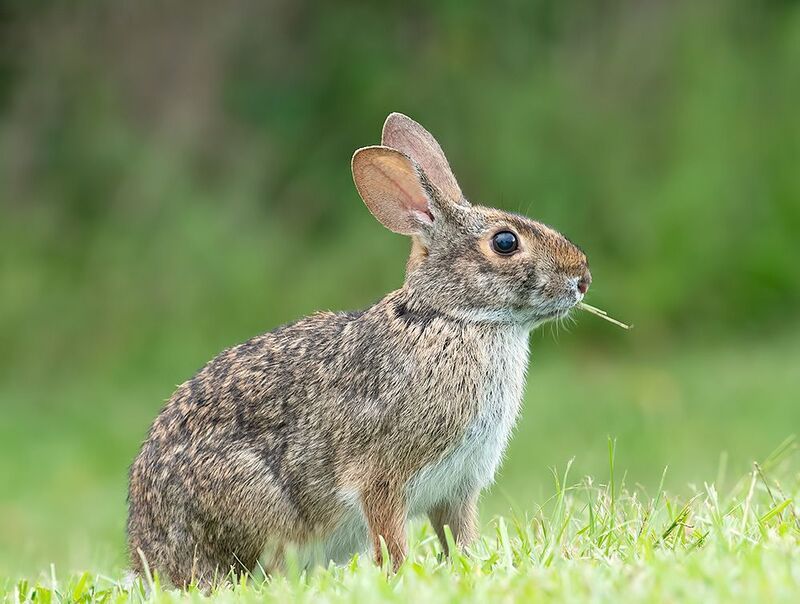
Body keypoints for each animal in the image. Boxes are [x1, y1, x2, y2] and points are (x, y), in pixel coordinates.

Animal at [127, 112, 591, 588]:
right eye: (505, 242)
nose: (583, 279)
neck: (450, 317)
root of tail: (151, 555)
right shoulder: (382, 478)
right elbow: (390, 539)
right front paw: (400, 578)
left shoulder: (458, 488)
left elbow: (457, 536)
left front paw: (466, 566)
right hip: (253, 503)